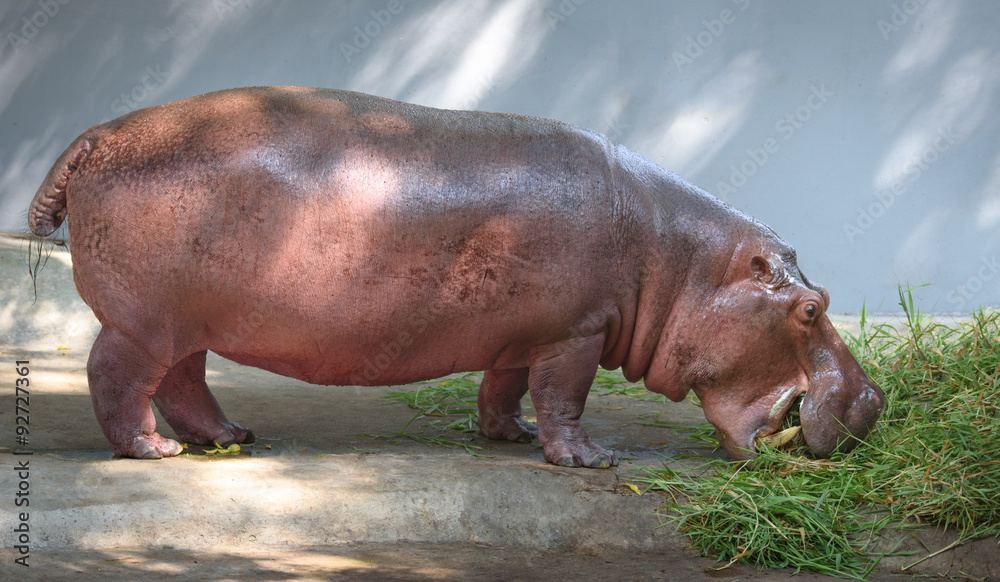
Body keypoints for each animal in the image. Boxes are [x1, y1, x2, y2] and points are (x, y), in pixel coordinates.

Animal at [25, 86, 884, 468]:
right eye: (813, 308)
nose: (876, 399)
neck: (681, 262)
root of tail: (95, 135)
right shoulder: (577, 333)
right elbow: (566, 397)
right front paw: (588, 459)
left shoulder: (525, 334)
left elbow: (504, 388)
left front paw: (511, 437)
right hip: (144, 323)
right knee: (116, 377)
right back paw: (153, 452)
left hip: (188, 321)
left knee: (185, 380)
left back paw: (229, 437)